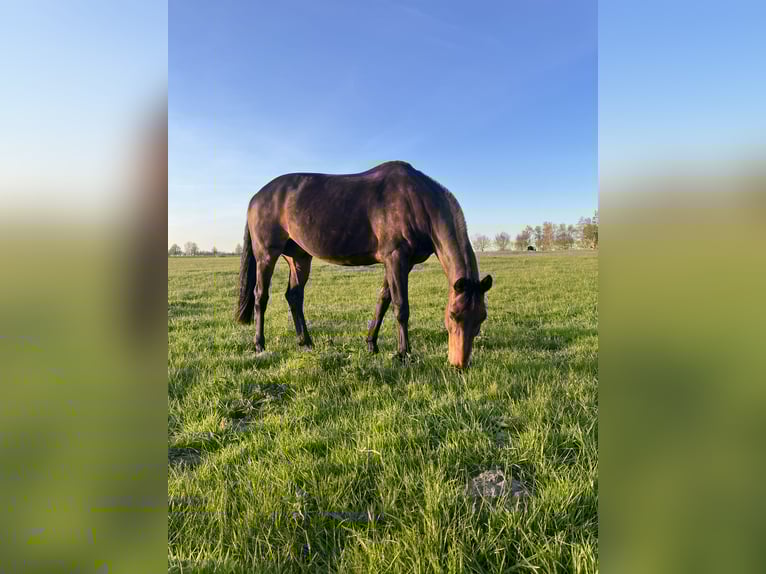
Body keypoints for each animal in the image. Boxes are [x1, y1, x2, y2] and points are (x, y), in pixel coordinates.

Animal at [235, 160, 493, 369]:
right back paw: (259, 345)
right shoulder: (396, 258)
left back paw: (306, 342)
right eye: (453, 315)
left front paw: (371, 344)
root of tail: (256, 197)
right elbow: (401, 307)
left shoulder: (401, 263)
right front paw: (403, 353)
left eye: (481, 318)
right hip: (267, 255)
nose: (460, 364)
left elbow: (383, 301)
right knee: (261, 296)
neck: (416, 201)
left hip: (299, 258)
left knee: (294, 297)